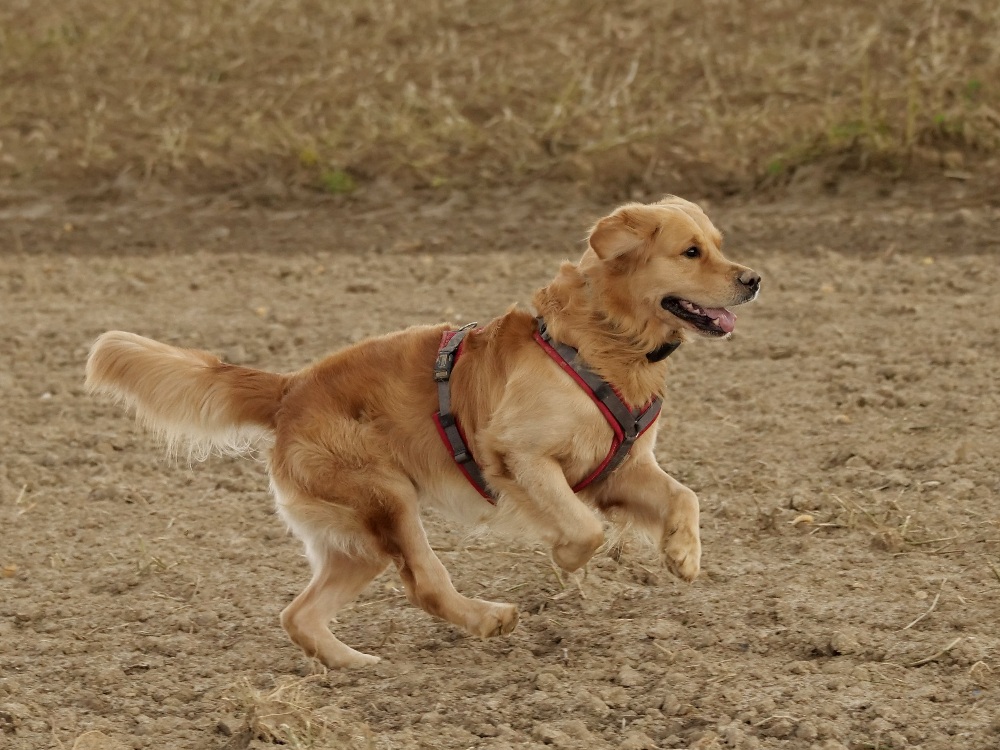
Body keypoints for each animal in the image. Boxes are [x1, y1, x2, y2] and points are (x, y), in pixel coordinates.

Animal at [88, 195, 756, 668]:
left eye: (718, 245)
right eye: (690, 252)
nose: (753, 280)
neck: (603, 337)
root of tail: (290, 388)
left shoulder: (621, 468)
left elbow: (684, 496)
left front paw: (682, 555)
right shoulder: (519, 456)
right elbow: (584, 528)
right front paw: (569, 561)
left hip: (354, 539)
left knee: (298, 615)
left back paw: (357, 665)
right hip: (389, 500)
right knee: (425, 585)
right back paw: (486, 620)